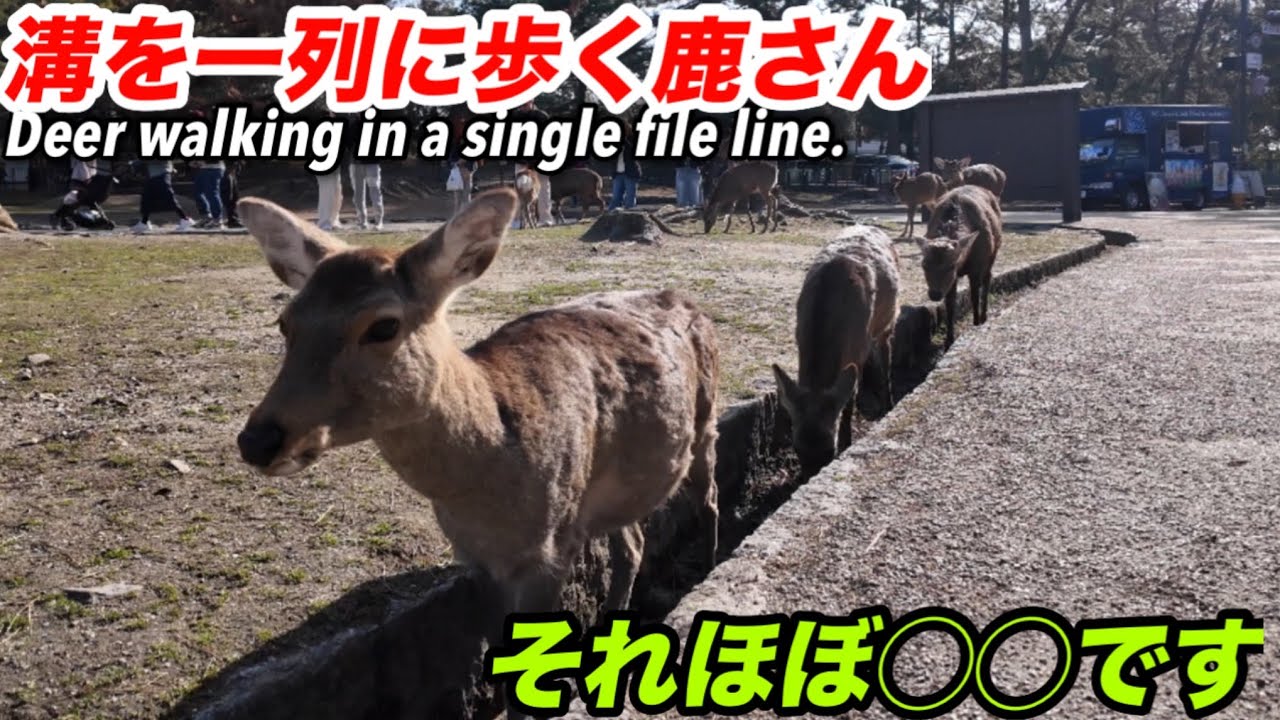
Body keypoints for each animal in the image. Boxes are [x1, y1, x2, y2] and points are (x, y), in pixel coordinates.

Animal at [233, 189, 721, 648]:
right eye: (285, 322)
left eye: (384, 325)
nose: (257, 439)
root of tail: (685, 299)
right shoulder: (475, 560)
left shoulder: (553, 545)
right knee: (633, 545)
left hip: (707, 418)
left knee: (709, 495)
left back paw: (711, 565)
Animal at [772, 226, 900, 478]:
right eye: (796, 448)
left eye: (829, 450)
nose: (807, 478)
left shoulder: (858, 346)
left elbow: (850, 395)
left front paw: (847, 441)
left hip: (888, 321)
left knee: (886, 354)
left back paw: (888, 403)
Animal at [919, 184, 1003, 350]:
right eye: (924, 265)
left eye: (951, 266)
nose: (935, 294)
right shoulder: (951, 280)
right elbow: (950, 304)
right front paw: (948, 340)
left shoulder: (977, 266)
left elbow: (974, 296)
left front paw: (976, 323)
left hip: (993, 252)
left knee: (988, 278)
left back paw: (984, 316)